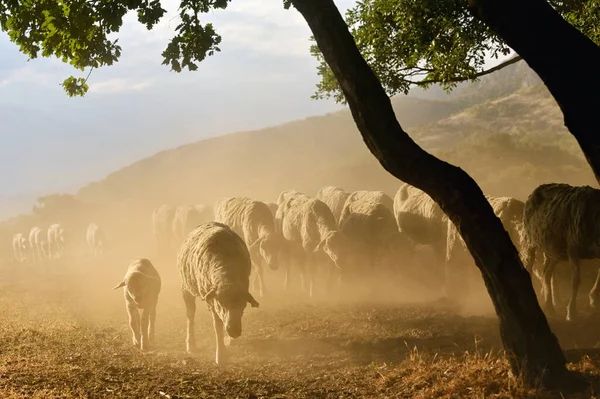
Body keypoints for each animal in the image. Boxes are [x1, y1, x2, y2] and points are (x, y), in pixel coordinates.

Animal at [179, 222, 262, 366]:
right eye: (221, 303)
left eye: (243, 304)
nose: (234, 331)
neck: (226, 270)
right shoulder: (212, 302)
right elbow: (217, 327)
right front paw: (221, 355)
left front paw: (229, 341)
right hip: (186, 287)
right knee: (190, 315)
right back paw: (191, 345)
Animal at [520, 184, 600, 322]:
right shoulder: (573, 248)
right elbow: (575, 280)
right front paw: (571, 313)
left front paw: (593, 299)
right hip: (529, 240)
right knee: (528, 266)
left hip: (553, 251)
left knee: (546, 273)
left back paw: (549, 307)